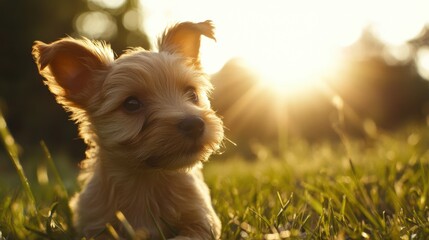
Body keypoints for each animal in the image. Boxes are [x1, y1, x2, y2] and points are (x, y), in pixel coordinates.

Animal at [31, 21, 222, 240]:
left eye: (192, 93)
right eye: (131, 104)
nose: (195, 124)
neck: (147, 180)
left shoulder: (203, 221)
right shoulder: (95, 225)